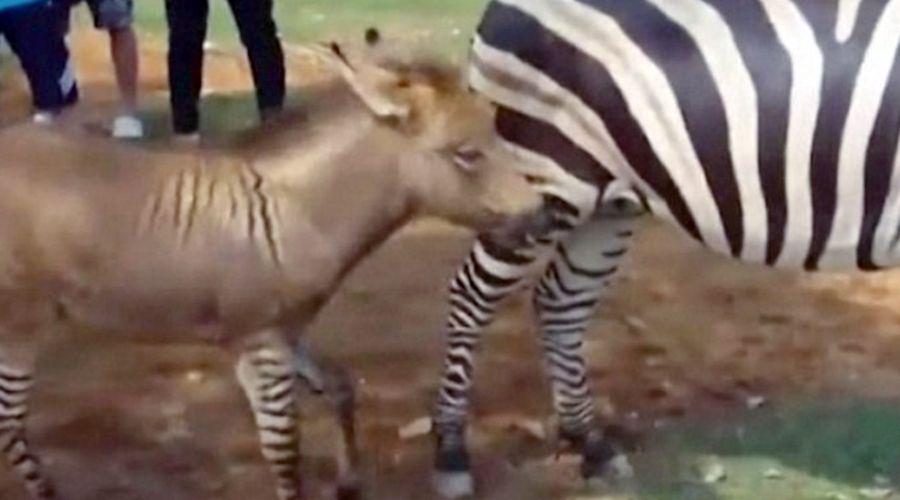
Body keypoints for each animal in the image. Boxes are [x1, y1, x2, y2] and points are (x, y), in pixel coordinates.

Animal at [431, 0, 900, 496]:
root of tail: (498, 7)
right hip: (543, 179)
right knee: (472, 296)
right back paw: (452, 452)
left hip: (607, 202)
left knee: (561, 303)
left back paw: (590, 444)